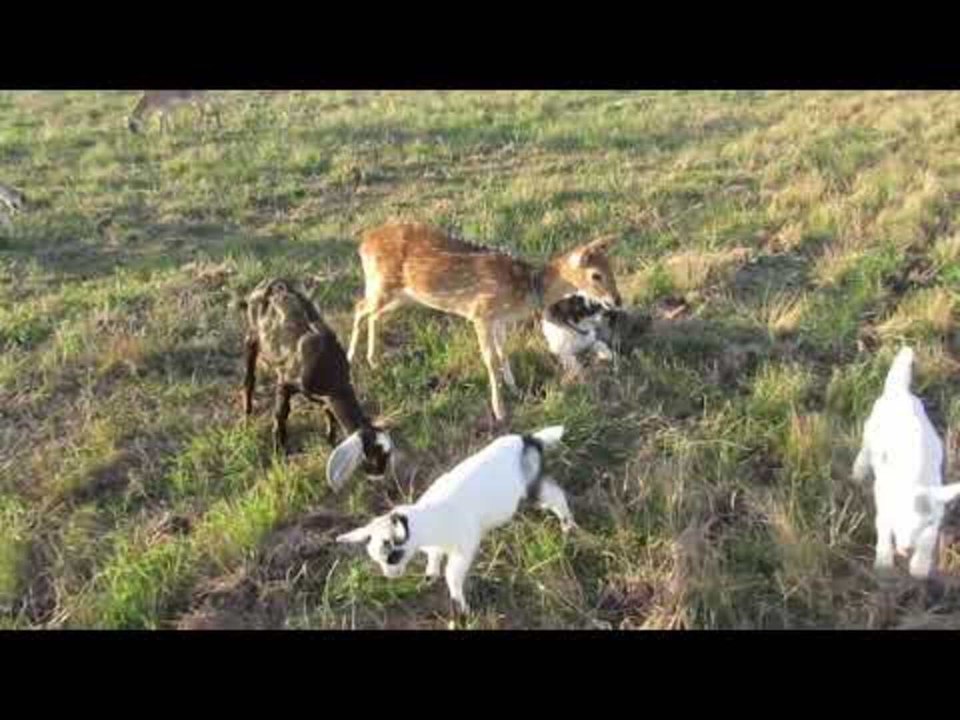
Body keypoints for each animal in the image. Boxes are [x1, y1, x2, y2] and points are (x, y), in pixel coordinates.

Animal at [241, 277, 394, 490]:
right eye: (373, 458)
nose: (382, 479)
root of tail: (272, 282)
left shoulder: (324, 396)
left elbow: (328, 412)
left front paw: (330, 439)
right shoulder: (285, 382)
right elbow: (281, 414)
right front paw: (279, 450)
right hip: (252, 336)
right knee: (249, 377)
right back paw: (247, 412)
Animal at [337, 425, 575, 616]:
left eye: (392, 557)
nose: (390, 576)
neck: (429, 519)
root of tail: (527, 440)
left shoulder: (463, 548)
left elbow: (452, 575)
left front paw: (462, 607)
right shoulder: (436, 545)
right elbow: (434, 558)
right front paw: (429, 576)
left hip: (532, 484)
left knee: (556, 496)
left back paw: (567, 526)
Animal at [346, 222, 622, 422]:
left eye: (612, 268)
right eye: (596, 275)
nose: (617, 300)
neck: (523, 289)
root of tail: (363, 243)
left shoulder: (499, 320)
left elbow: (503, 352)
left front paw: (515, 388)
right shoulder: (480, 314)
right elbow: (490, 359)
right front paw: (500, 411)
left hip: (402, 296)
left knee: (373, 314)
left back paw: (372, 360)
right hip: (382, 285)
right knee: (359, 308)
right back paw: (350, 358)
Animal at [853, 346, 960, 579]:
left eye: (924, 524)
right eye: (899, 519)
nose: (907, 549)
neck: (915, 477)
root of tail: (899, 392)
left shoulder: (935, 514)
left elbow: (928, 540)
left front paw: (919, 568)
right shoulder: (885, 506)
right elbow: (883, 530)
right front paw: (884, 563)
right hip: (871, 430)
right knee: (865, 450)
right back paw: (858, 473)